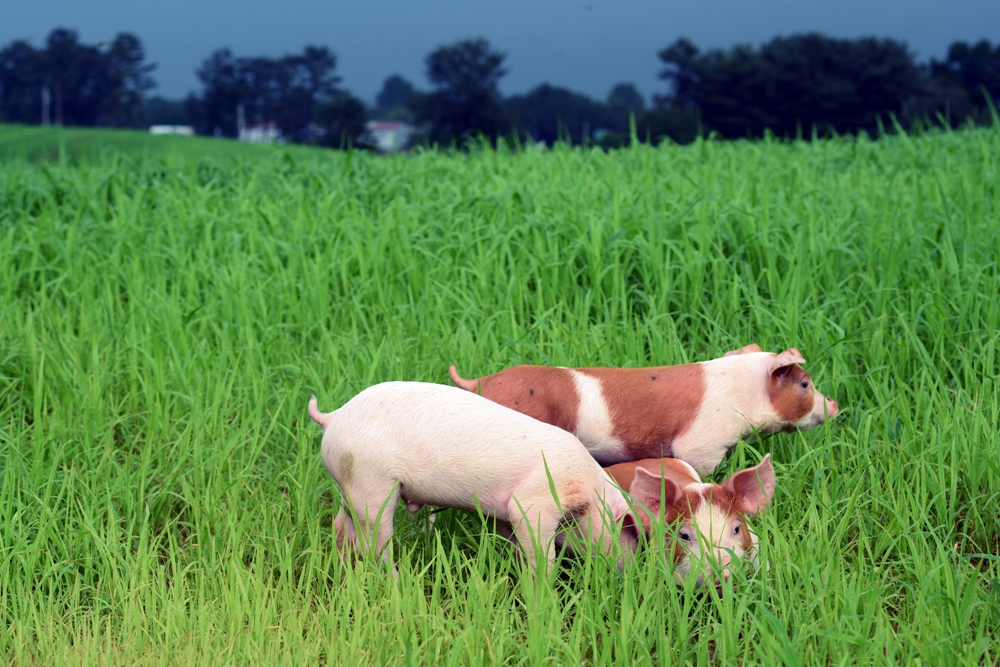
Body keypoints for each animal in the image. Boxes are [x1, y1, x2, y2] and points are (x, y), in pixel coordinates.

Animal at [308, 382, 636, 573]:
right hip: (371, 481)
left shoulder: (502, 514)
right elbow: (539, 548)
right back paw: (395, 578)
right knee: (375, 541)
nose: (629, 568)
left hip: (349, 484)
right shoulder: (534, 503)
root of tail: (333, 416)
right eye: (626, 528)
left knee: (341, 526)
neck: (586, 491)